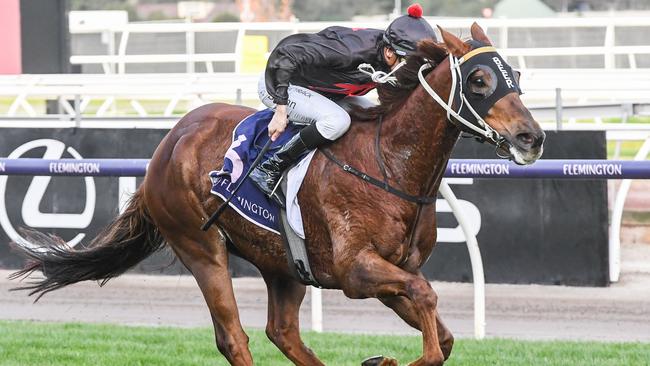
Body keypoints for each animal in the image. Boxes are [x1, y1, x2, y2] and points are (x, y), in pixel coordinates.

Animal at [12, 24, 544, 364]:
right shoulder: (357, 271)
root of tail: (167, 144)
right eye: (479, 79)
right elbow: (430, 316)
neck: (389, 163)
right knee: (235, 337)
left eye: (515, 75)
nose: (532, 138)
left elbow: (443, 333)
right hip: (200, 246)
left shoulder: (396, 271)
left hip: (283, 263)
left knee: (283, 333)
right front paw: (383, 361)